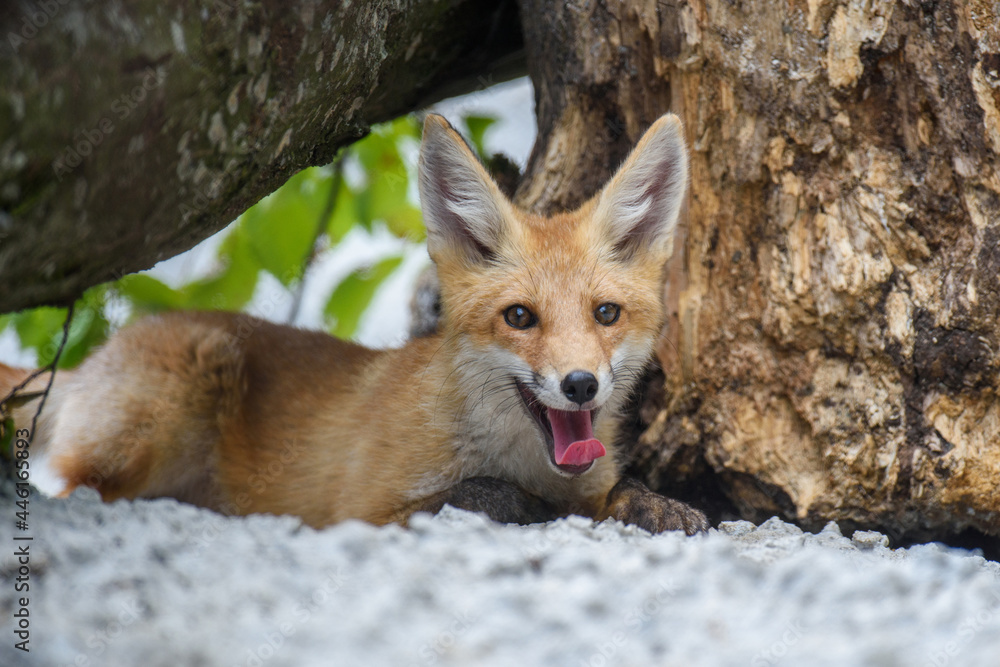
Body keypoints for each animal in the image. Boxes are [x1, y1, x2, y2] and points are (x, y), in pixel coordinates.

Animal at [0, 112, 708, 536]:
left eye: (606, 314)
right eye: (519, 317)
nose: (580, 385)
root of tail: (86, 366)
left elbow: (618, 495)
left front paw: (658, 504)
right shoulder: (363, 510)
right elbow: (475, 494)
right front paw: (531, 508)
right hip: (174, 399)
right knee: (72, 491)